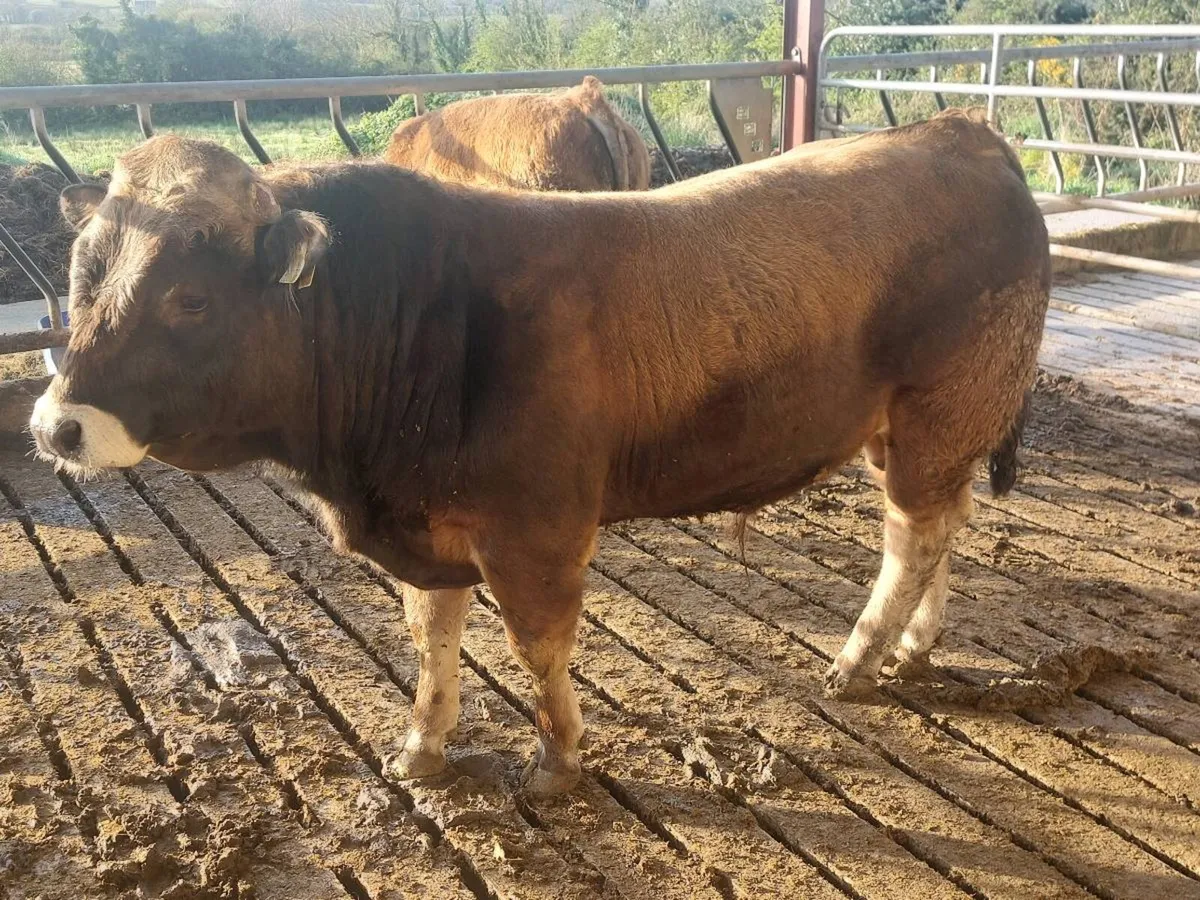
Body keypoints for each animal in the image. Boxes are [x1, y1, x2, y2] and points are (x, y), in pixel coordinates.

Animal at [30, 109, 1050, 797]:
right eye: (84, 271)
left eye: (190, 299)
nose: (53, 427)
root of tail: (959, 132)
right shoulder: (431, 528)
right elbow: (432, 636)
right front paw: (422, 749)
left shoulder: (539, 527)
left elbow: (538, 644)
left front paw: (558, 758)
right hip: (913, 431)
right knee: (942, 526)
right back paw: (912, 646)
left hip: (940, 412)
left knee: (913, 537)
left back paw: (861, 658)